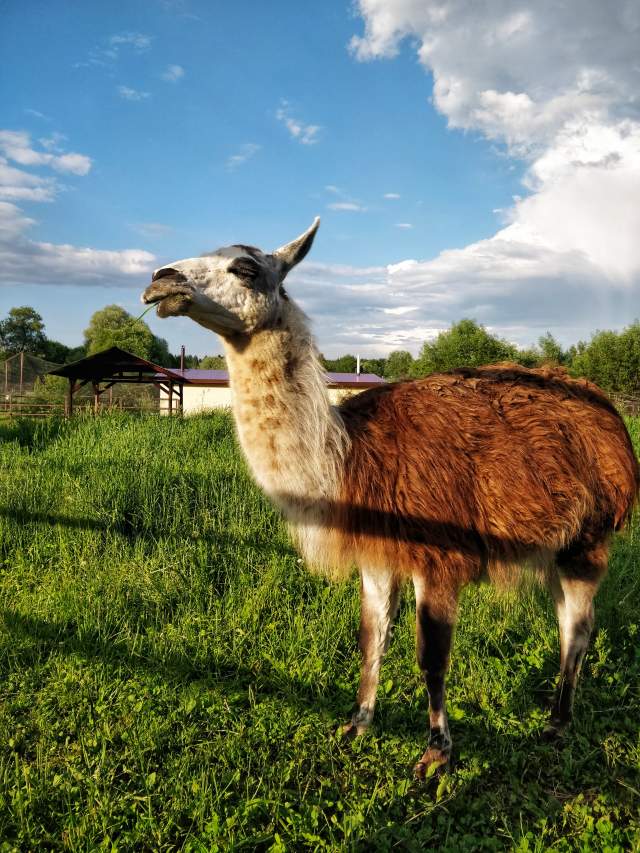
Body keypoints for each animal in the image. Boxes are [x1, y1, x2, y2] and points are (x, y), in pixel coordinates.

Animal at [142, 218, 638, 777]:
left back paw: (557, 723)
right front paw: (356, 723)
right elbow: (370, 637)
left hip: (590, 536)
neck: (348, 458)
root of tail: (609, 412)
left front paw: (436, 752)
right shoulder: (377, 553)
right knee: (568, 622)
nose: (161, 280)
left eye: (245, 267)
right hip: (559, 541)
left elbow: (432, 655)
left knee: (578, 626)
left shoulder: (438, 555)